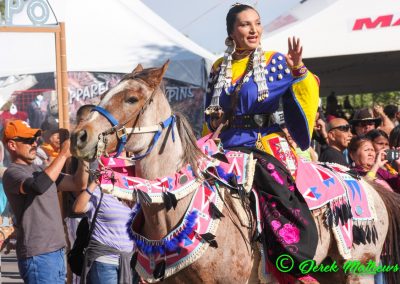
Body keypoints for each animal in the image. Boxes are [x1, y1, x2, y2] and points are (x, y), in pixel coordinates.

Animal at [70, 62, 400, 284]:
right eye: (105, 93)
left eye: (131, 99)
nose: (80, 137)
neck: (172, 205)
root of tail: (365, 182)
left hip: (358, 269)